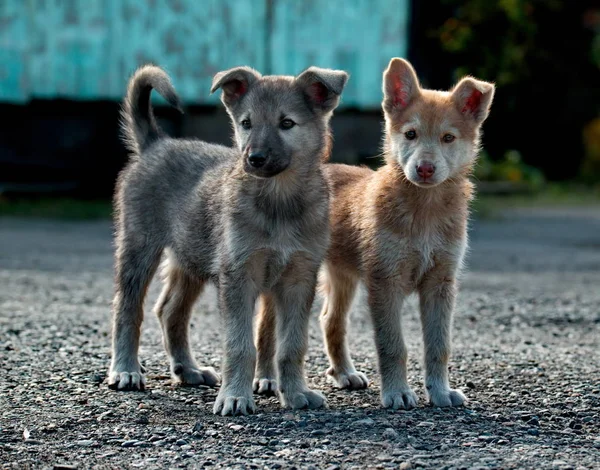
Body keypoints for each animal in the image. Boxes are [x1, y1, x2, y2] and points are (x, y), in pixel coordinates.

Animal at [109, 62, 346, 414]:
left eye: (287, 123)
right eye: (246, 123)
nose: (254, 158)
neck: (279, 202)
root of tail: (155, 143)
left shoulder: (299, 278)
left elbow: (292, 345)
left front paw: (295, 393)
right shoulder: (238, 275)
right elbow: (240, 345)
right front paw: (235, 396)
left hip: (191, 257)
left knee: (170, 311)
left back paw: (188, 370)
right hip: (139, 247)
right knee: (127, 308)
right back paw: (125, 370)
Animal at [255, 57, 494, 410]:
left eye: (448, 138)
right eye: (410, 134)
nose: (424, 168)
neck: (424, 212)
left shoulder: (441, 284)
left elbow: (439, 347)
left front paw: (440, 392)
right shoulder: (385, 282)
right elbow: (393, 346)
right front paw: (397, 393)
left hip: (343, 276)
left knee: (331, 321)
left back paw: (344, 373)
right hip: (286, 274)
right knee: (266, 328)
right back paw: (265, 378)